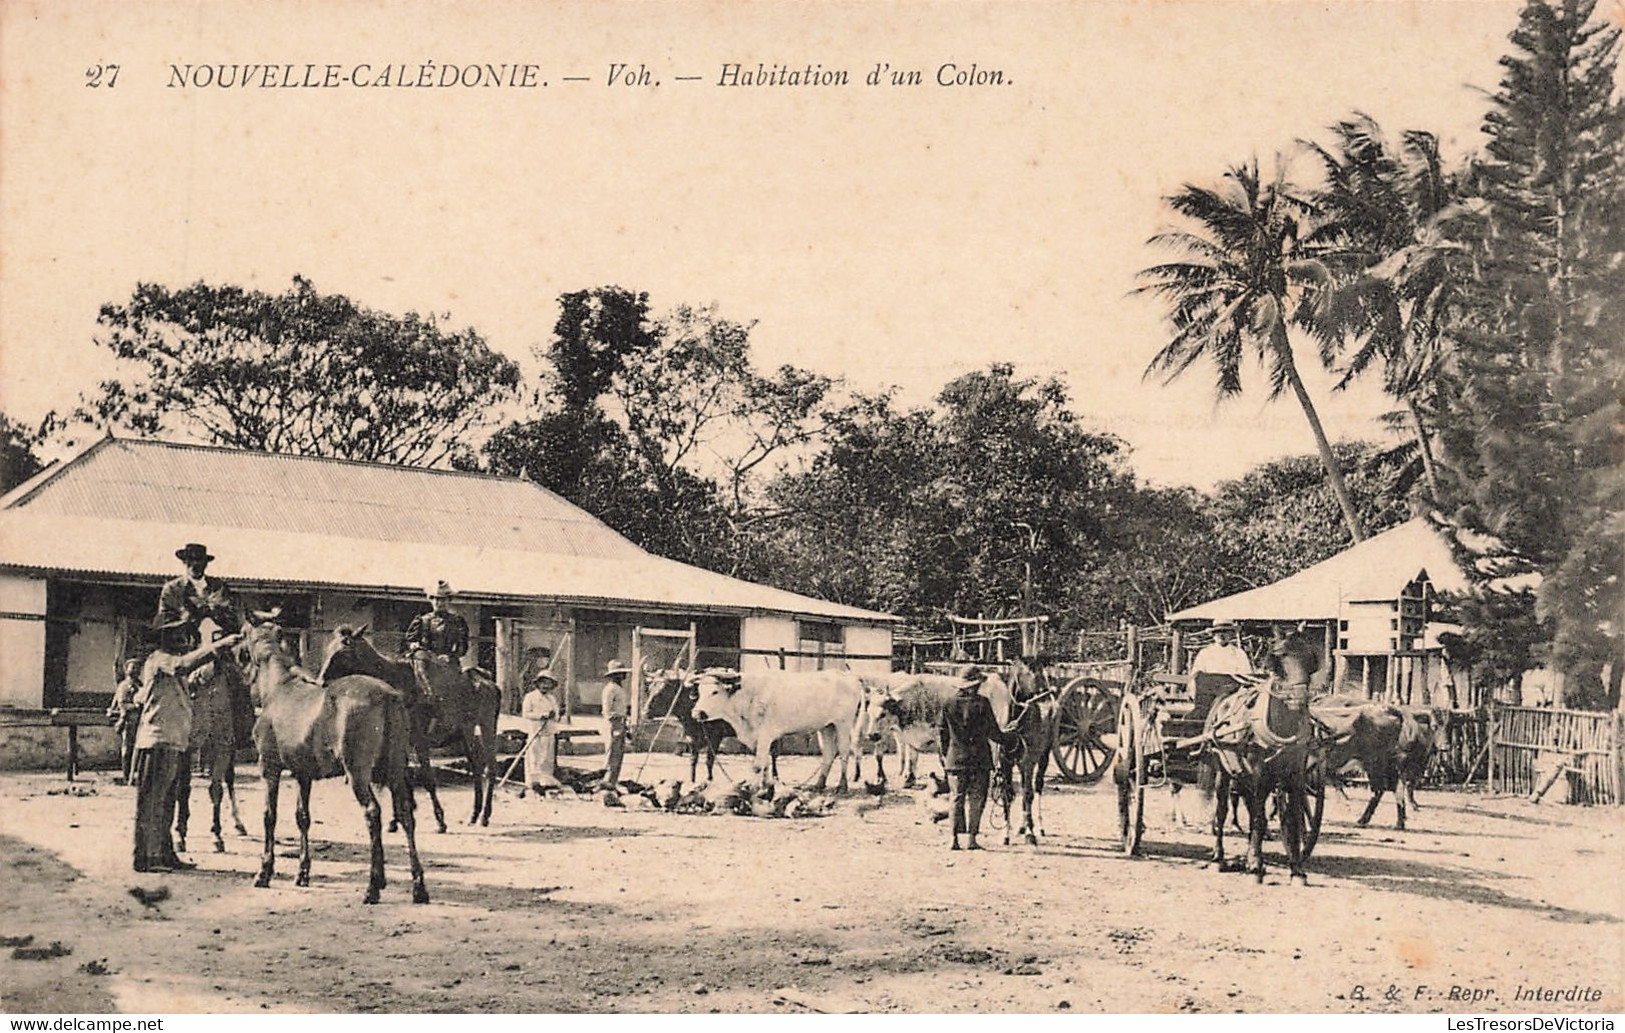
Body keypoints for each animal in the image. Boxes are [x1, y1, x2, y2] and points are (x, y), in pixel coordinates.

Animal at [242, 617, 425, 903]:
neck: (280, 688)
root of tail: (389, 696)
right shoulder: (302, 774)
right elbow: (302, 817)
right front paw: (302, 873)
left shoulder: (269, 768)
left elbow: (269, 816)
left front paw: (264, 872)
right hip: (395, 772)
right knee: (406, 814)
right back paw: (418, 887)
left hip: (358, 774)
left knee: (373, 813)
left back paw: (372, 887)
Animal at [313, 620, 497, 831]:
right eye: (328, 648)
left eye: (343, 651)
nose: (321, 681)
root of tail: (488, 681)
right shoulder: (399, 742)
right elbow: (399, 776)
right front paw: (395, 820)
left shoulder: (419, 738)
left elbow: (426, 777)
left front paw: (440, 820)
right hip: (466, 732)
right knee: (477, 766)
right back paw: (474, 815)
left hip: (487, 727)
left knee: (490, 768)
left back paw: (485, 816)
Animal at [1209, 626, 1319, 883]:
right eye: (1278, 658)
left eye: (1310, 658)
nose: (1299, 699)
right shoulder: (1260, 774)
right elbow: (1258, 818)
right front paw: (1256, 864)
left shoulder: (1296, 776)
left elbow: (1293, 819)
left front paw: (1297, 869)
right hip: (1223, 770)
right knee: (1222, 810)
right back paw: (1219, 857)